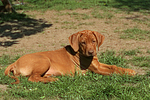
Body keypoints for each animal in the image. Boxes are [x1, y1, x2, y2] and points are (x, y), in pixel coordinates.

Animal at [4, 30, 136, 84]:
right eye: (83, 42)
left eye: (93, 41)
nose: (91, 52)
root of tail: (14, 62)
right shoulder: (96, 69)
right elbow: (113, 71)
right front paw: (127, 74)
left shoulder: (98, 64)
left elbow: (114, 66)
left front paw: (130, 70)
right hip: (44, 60)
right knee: (32, 78)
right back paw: (52, 80)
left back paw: (50, 76)